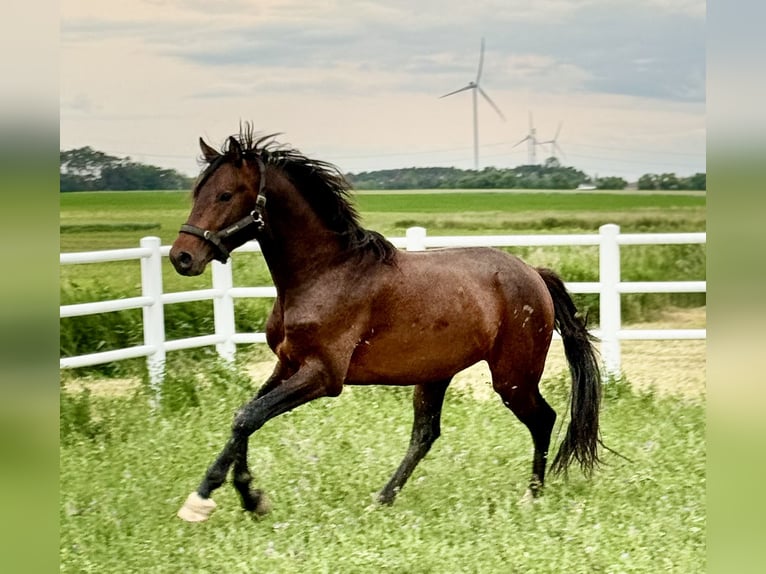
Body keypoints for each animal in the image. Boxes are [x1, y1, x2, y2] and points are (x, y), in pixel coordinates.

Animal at [169, 125, 602, 522]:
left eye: (225, 194)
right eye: (197, 192)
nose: (182, 257)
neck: (325, 273)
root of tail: (534, 274)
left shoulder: (323, 375)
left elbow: (249, 417)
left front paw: (226, 498)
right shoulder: (287, 365)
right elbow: (244, 417)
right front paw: (230, 497)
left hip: (513, 377)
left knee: (543, 420)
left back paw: (532, 495)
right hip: (436, 374)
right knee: (425, 434)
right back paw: (383, 498)